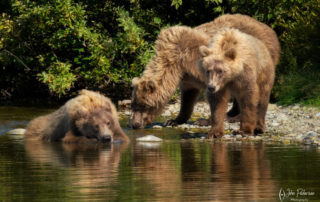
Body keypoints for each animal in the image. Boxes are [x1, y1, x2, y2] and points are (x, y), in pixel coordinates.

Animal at [129, 13, 278, 129]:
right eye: (133, 105)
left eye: (144, 106)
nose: (135, 124)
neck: (175, 63)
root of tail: (271, 31)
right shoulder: (187, 76)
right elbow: (188, 96)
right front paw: (173, 120)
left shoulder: (197, 61)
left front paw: (205, 121)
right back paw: (231, 114)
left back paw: (236, 116)